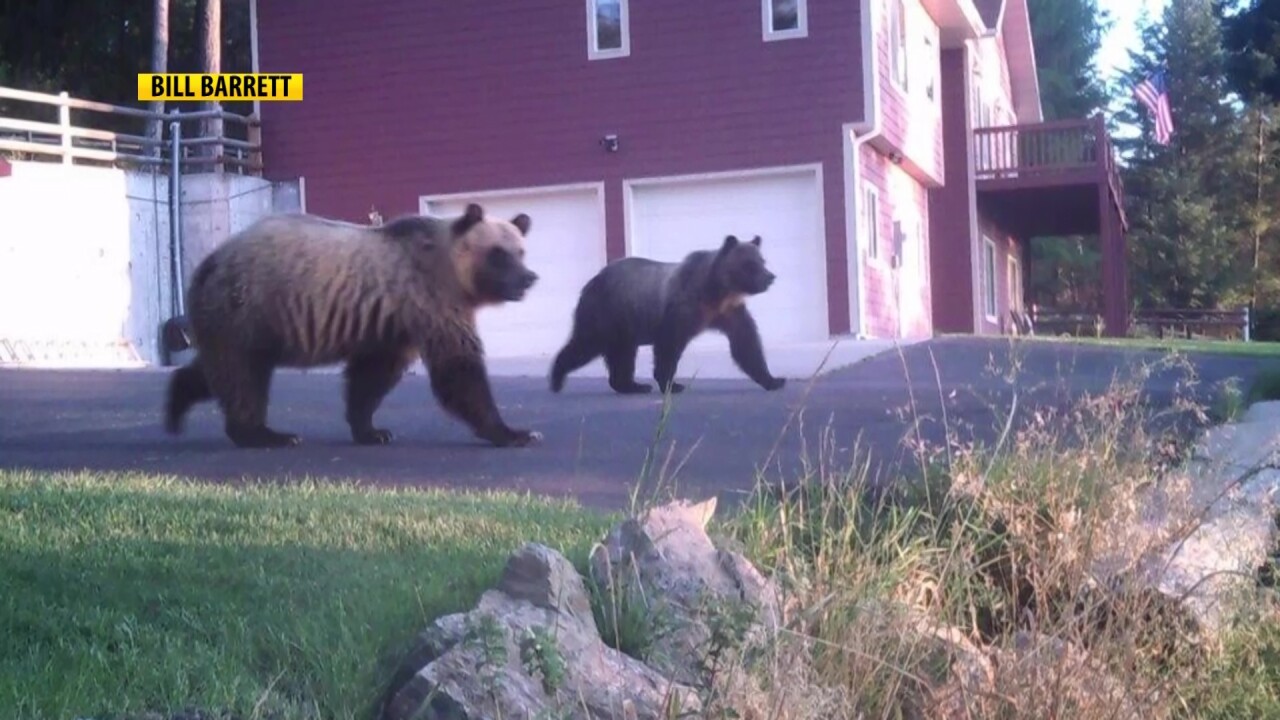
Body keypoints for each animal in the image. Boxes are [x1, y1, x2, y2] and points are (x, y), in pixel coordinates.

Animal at [164, 202, 542, 449]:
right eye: (498, 253)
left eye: (521, 251)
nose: (528, 279)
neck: (453, 272)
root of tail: (208, 263)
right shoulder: (430, 300)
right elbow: (459, 369)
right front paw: (515, 432)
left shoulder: (395, 321)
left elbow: (372, 375)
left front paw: (373, 430)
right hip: (249, 304)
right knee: (243, 374)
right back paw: (268, 434)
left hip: (236, 317)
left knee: (218, 369)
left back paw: (177, 407)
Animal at [549, 234, 786, 395]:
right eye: (750, 264)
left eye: (762, 261)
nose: (770, 277)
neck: (716, 291)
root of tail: (591, 281)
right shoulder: (681, 307)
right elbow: (669, 345)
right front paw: (673, 384)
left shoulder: (729, 311)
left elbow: (746, 343)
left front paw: (774, 380)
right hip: (607, 312)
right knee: (586, 343)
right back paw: (557, 378)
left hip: (624, 324)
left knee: (622, 355)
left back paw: (633, 385)